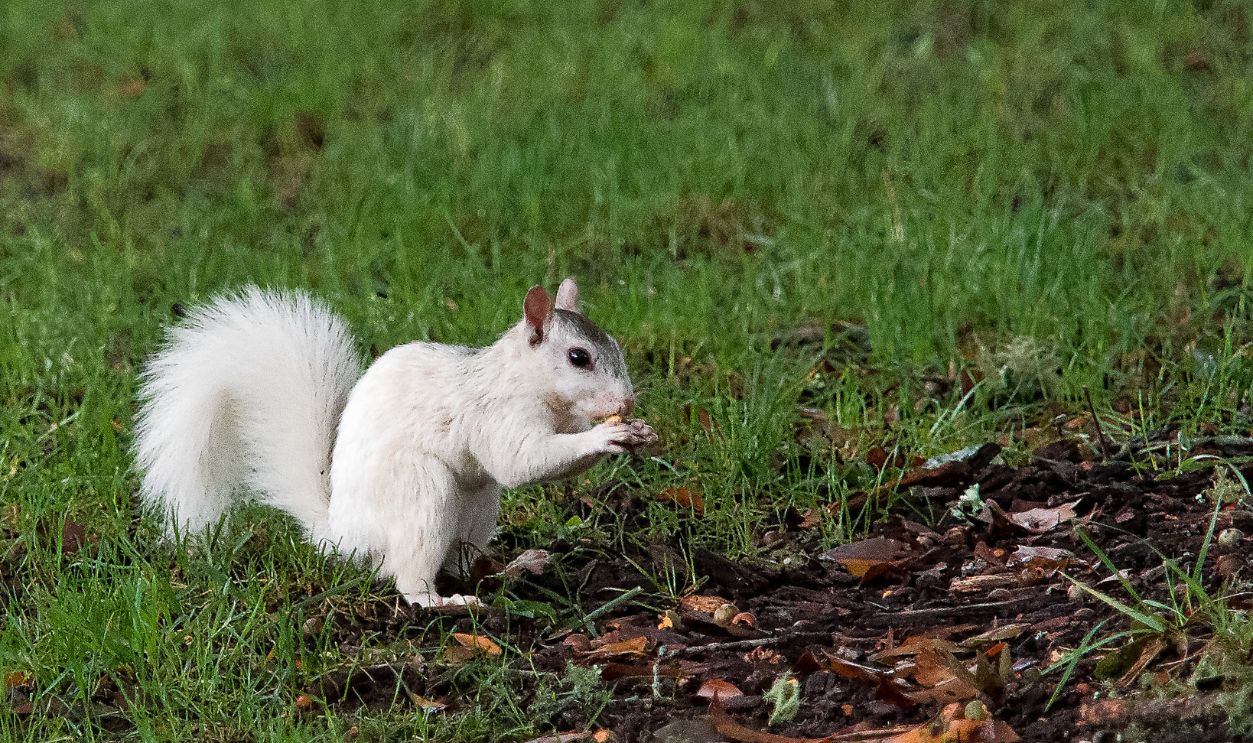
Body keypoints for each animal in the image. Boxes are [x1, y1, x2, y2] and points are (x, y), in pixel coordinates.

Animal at [133, 278, 657, 607]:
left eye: (614, 345)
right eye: (578, 357)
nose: (627, 402)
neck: (527, 382)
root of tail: (344, 537)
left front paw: (637, 432)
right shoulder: (496, 416)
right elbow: (522, 461)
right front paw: (607, 434)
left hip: (477, 505)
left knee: (462, 560)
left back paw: (512, 568)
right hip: (421, 490)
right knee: (409, 580)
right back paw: (444, 602)